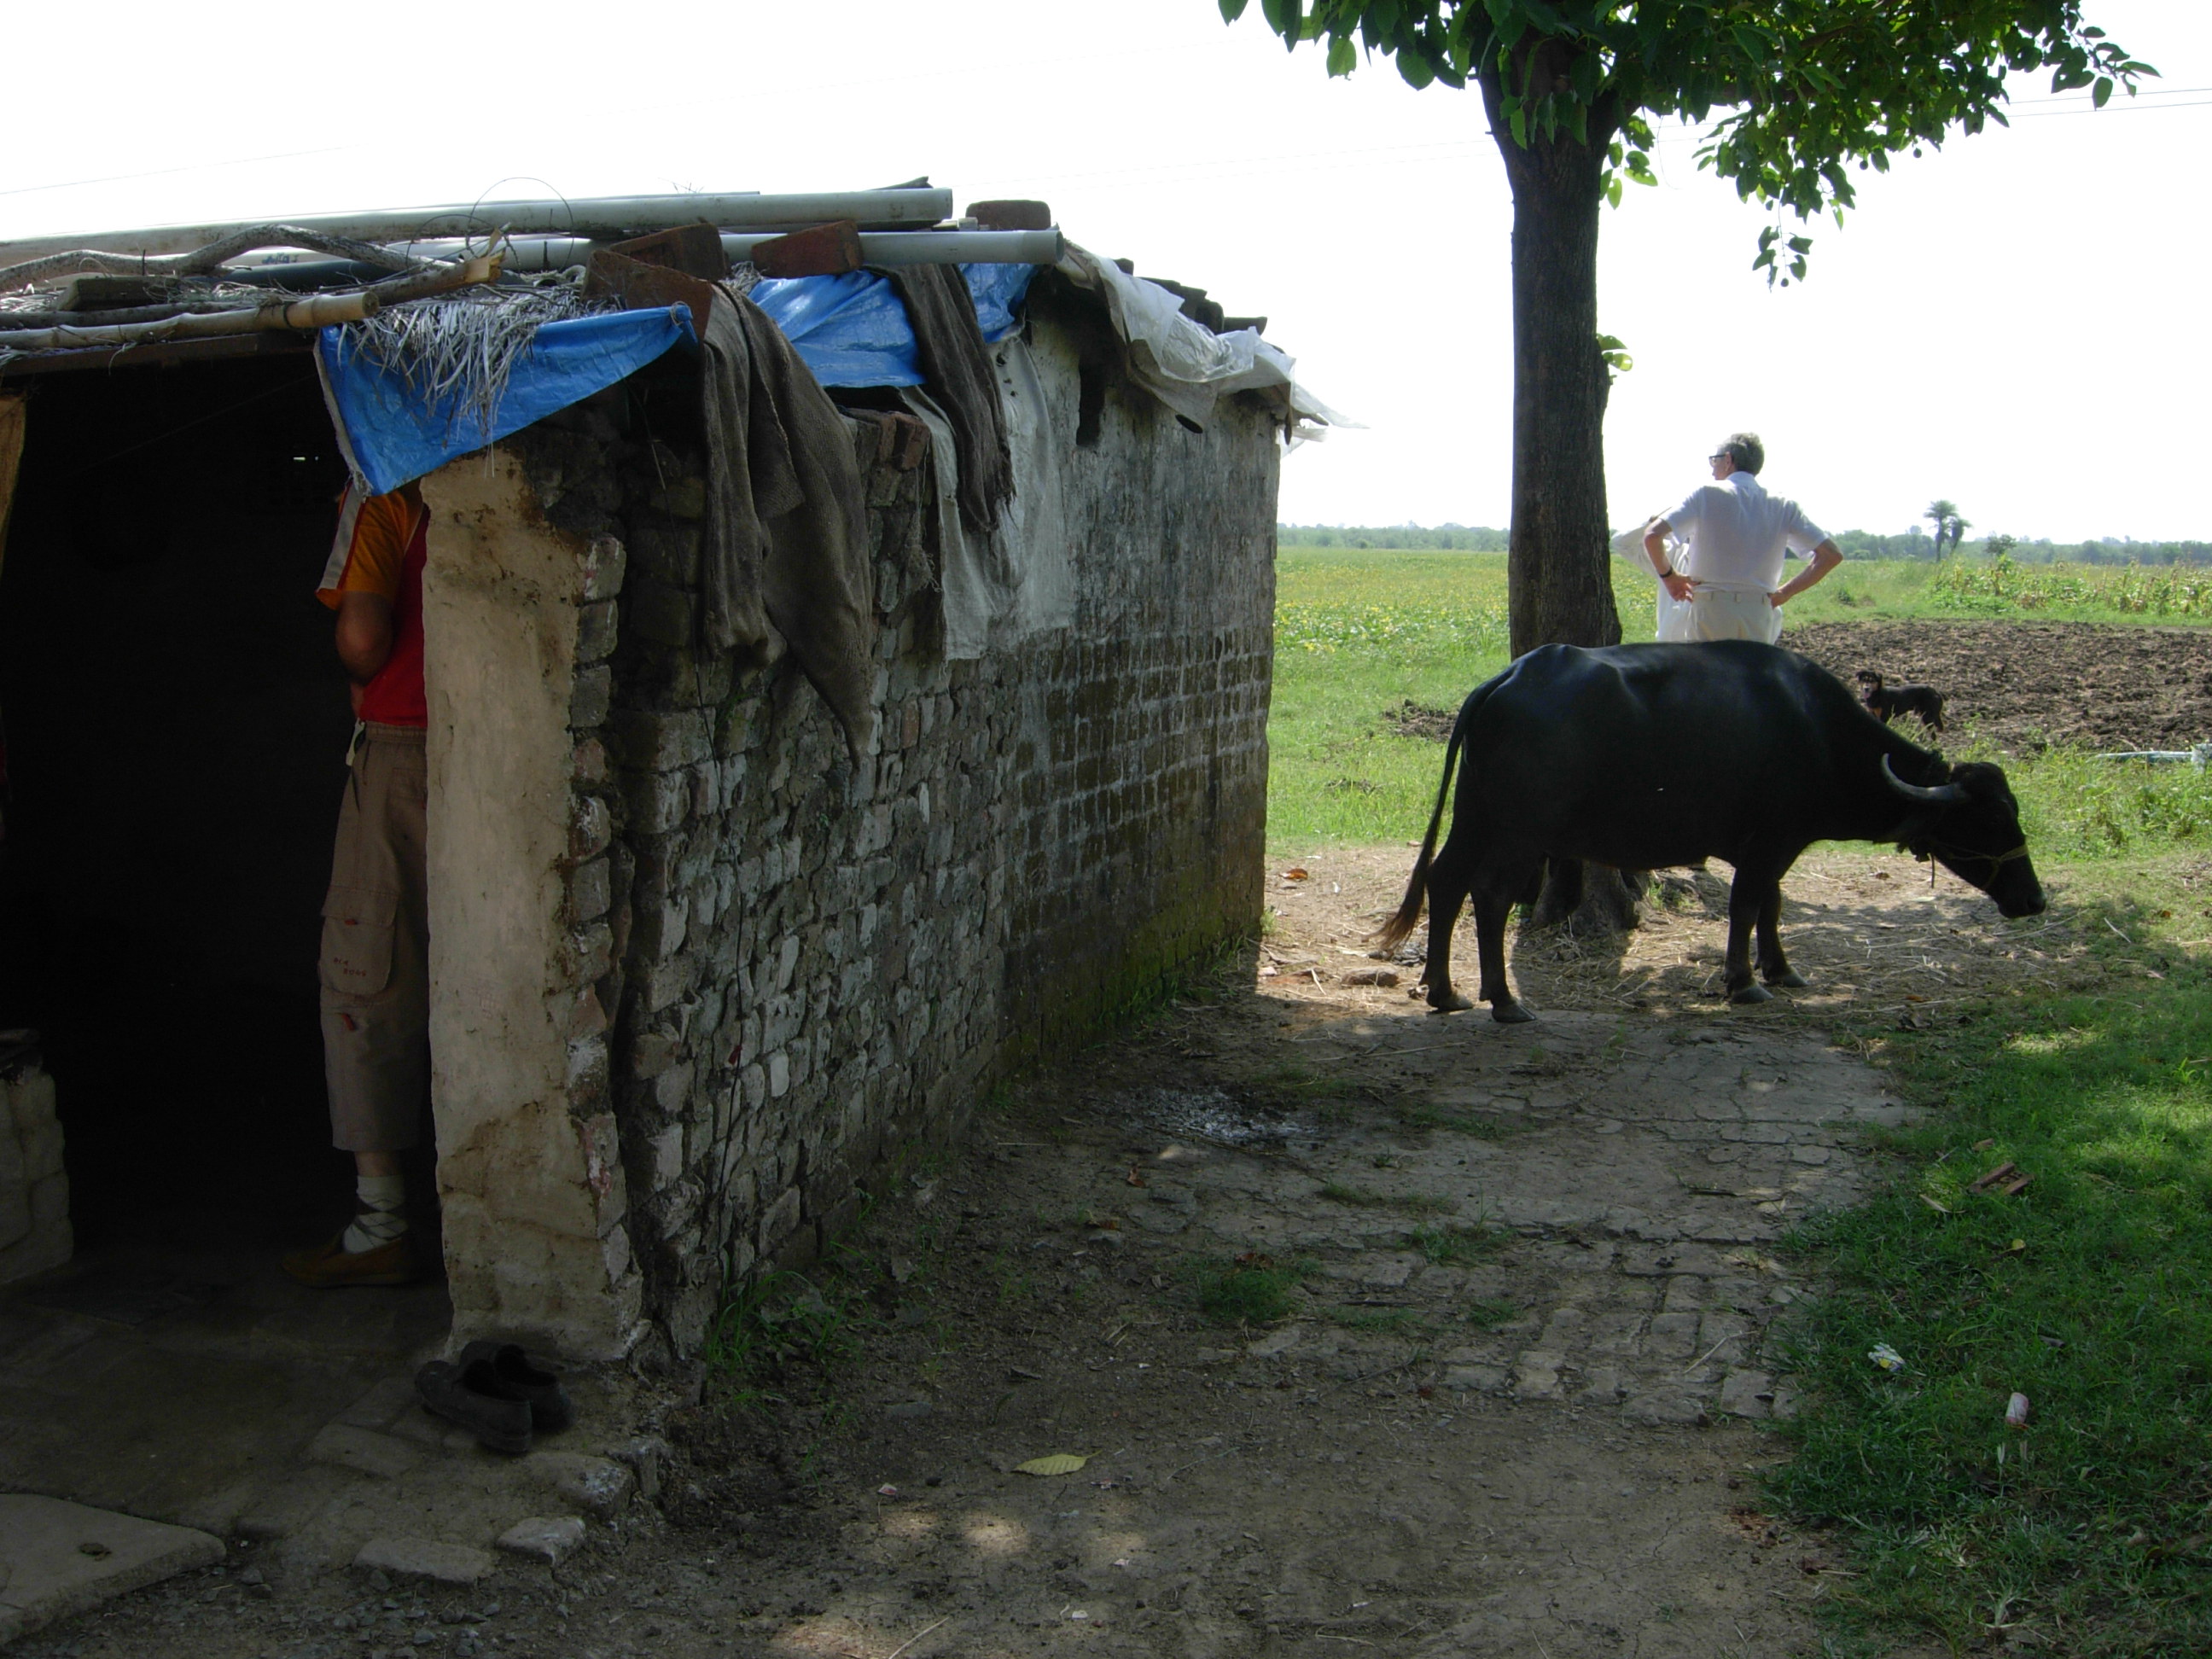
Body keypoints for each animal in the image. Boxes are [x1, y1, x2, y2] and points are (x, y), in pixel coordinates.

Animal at [1377, 641, 2044, 1022]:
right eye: (1989, 819)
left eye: (2013, 810)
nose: (2034, 899)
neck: (1818, 733)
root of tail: (1509, 678)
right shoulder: (1771, 842)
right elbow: (1748, 905)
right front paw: (1744, 982)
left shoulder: (1770, 847)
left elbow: (1771, 904)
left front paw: (1780, 969)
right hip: (1522, 831)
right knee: (1488, 896)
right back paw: (1504, 1001)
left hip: (1476, 815)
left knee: (1445, 879)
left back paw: (1445, 991)